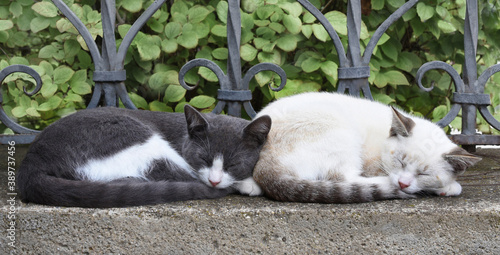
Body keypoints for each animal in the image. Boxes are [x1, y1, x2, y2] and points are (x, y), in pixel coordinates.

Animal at [18, 104, 270, 208]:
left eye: (234, 164)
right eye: (203, 159)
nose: (215, 180)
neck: (181, 134)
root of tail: (32, 161)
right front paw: (249, 183)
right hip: (136, 137)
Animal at [254, 92, 480, 203]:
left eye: (423, 174)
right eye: (399, 161)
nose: (403, 183)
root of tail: (263, 159)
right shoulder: (375, 165)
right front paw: (447, 187)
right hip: (342, 132)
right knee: (344, 179)